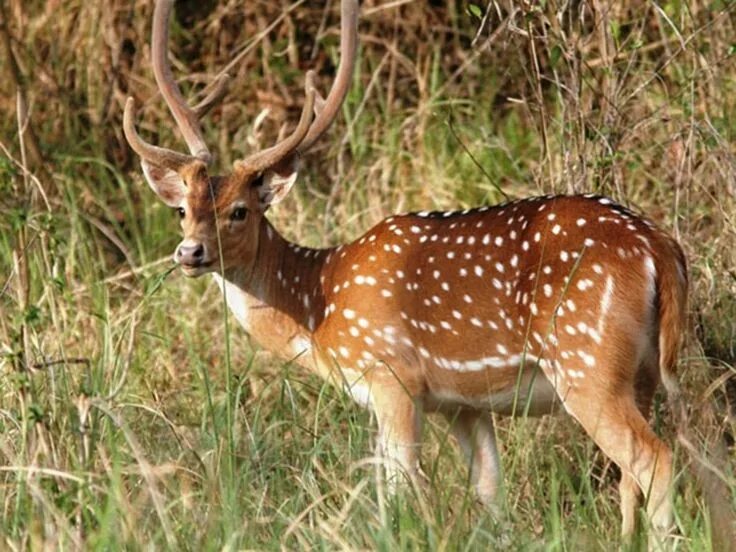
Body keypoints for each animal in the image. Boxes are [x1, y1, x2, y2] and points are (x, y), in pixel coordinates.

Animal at [123, 0, 688, 544]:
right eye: (182, 209)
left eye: (240, 210)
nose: (190, 252)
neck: (319, 304)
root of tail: (658, 247)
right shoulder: (463, 403)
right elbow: (491, 491)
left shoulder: (390, 375)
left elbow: (397, 491)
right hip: (639, 372)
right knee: (630, 474)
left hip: (584, 361)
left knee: (654, 458)